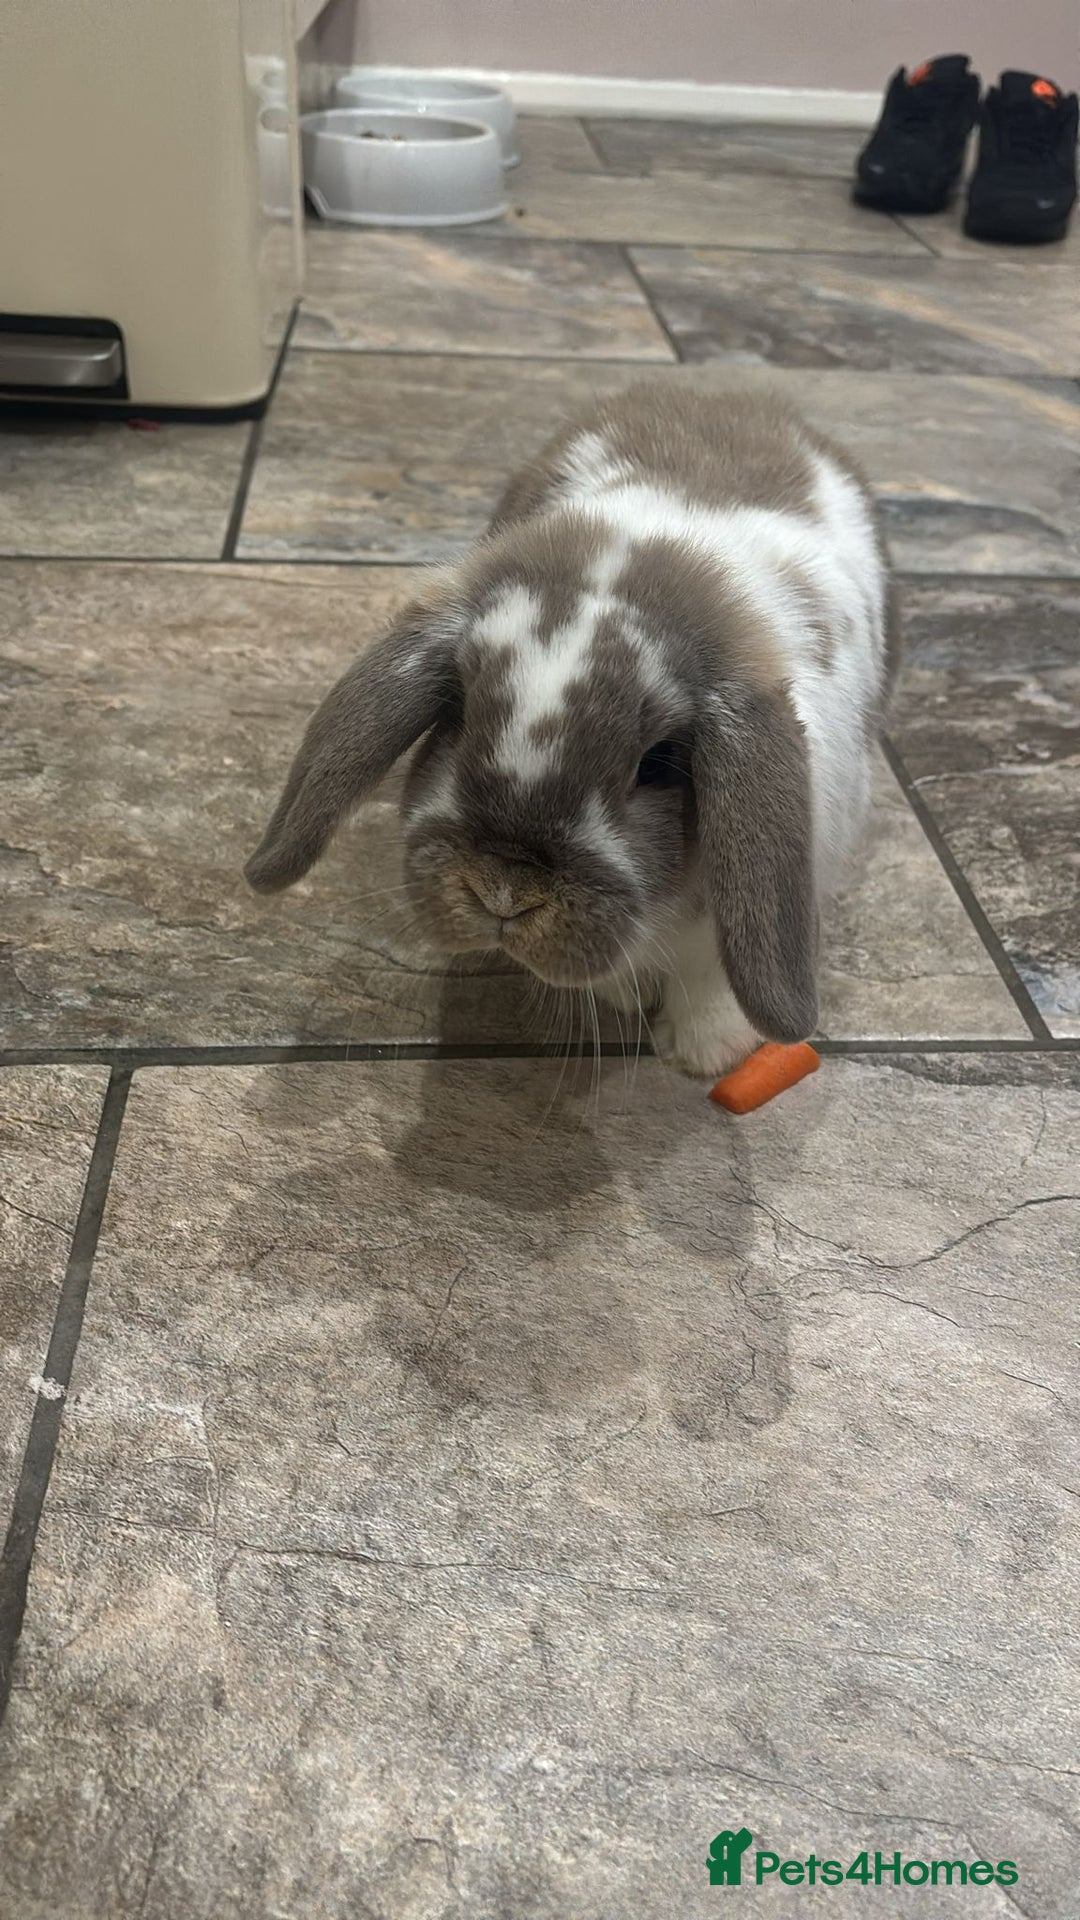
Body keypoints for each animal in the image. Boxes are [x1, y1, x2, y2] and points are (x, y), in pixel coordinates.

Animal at [245, 383, 898, 1079]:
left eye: (658, 764)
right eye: (460, 715)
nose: (504, 895)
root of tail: (724, 397)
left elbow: (715, 978)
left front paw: (703, 1054)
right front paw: (623, 997)